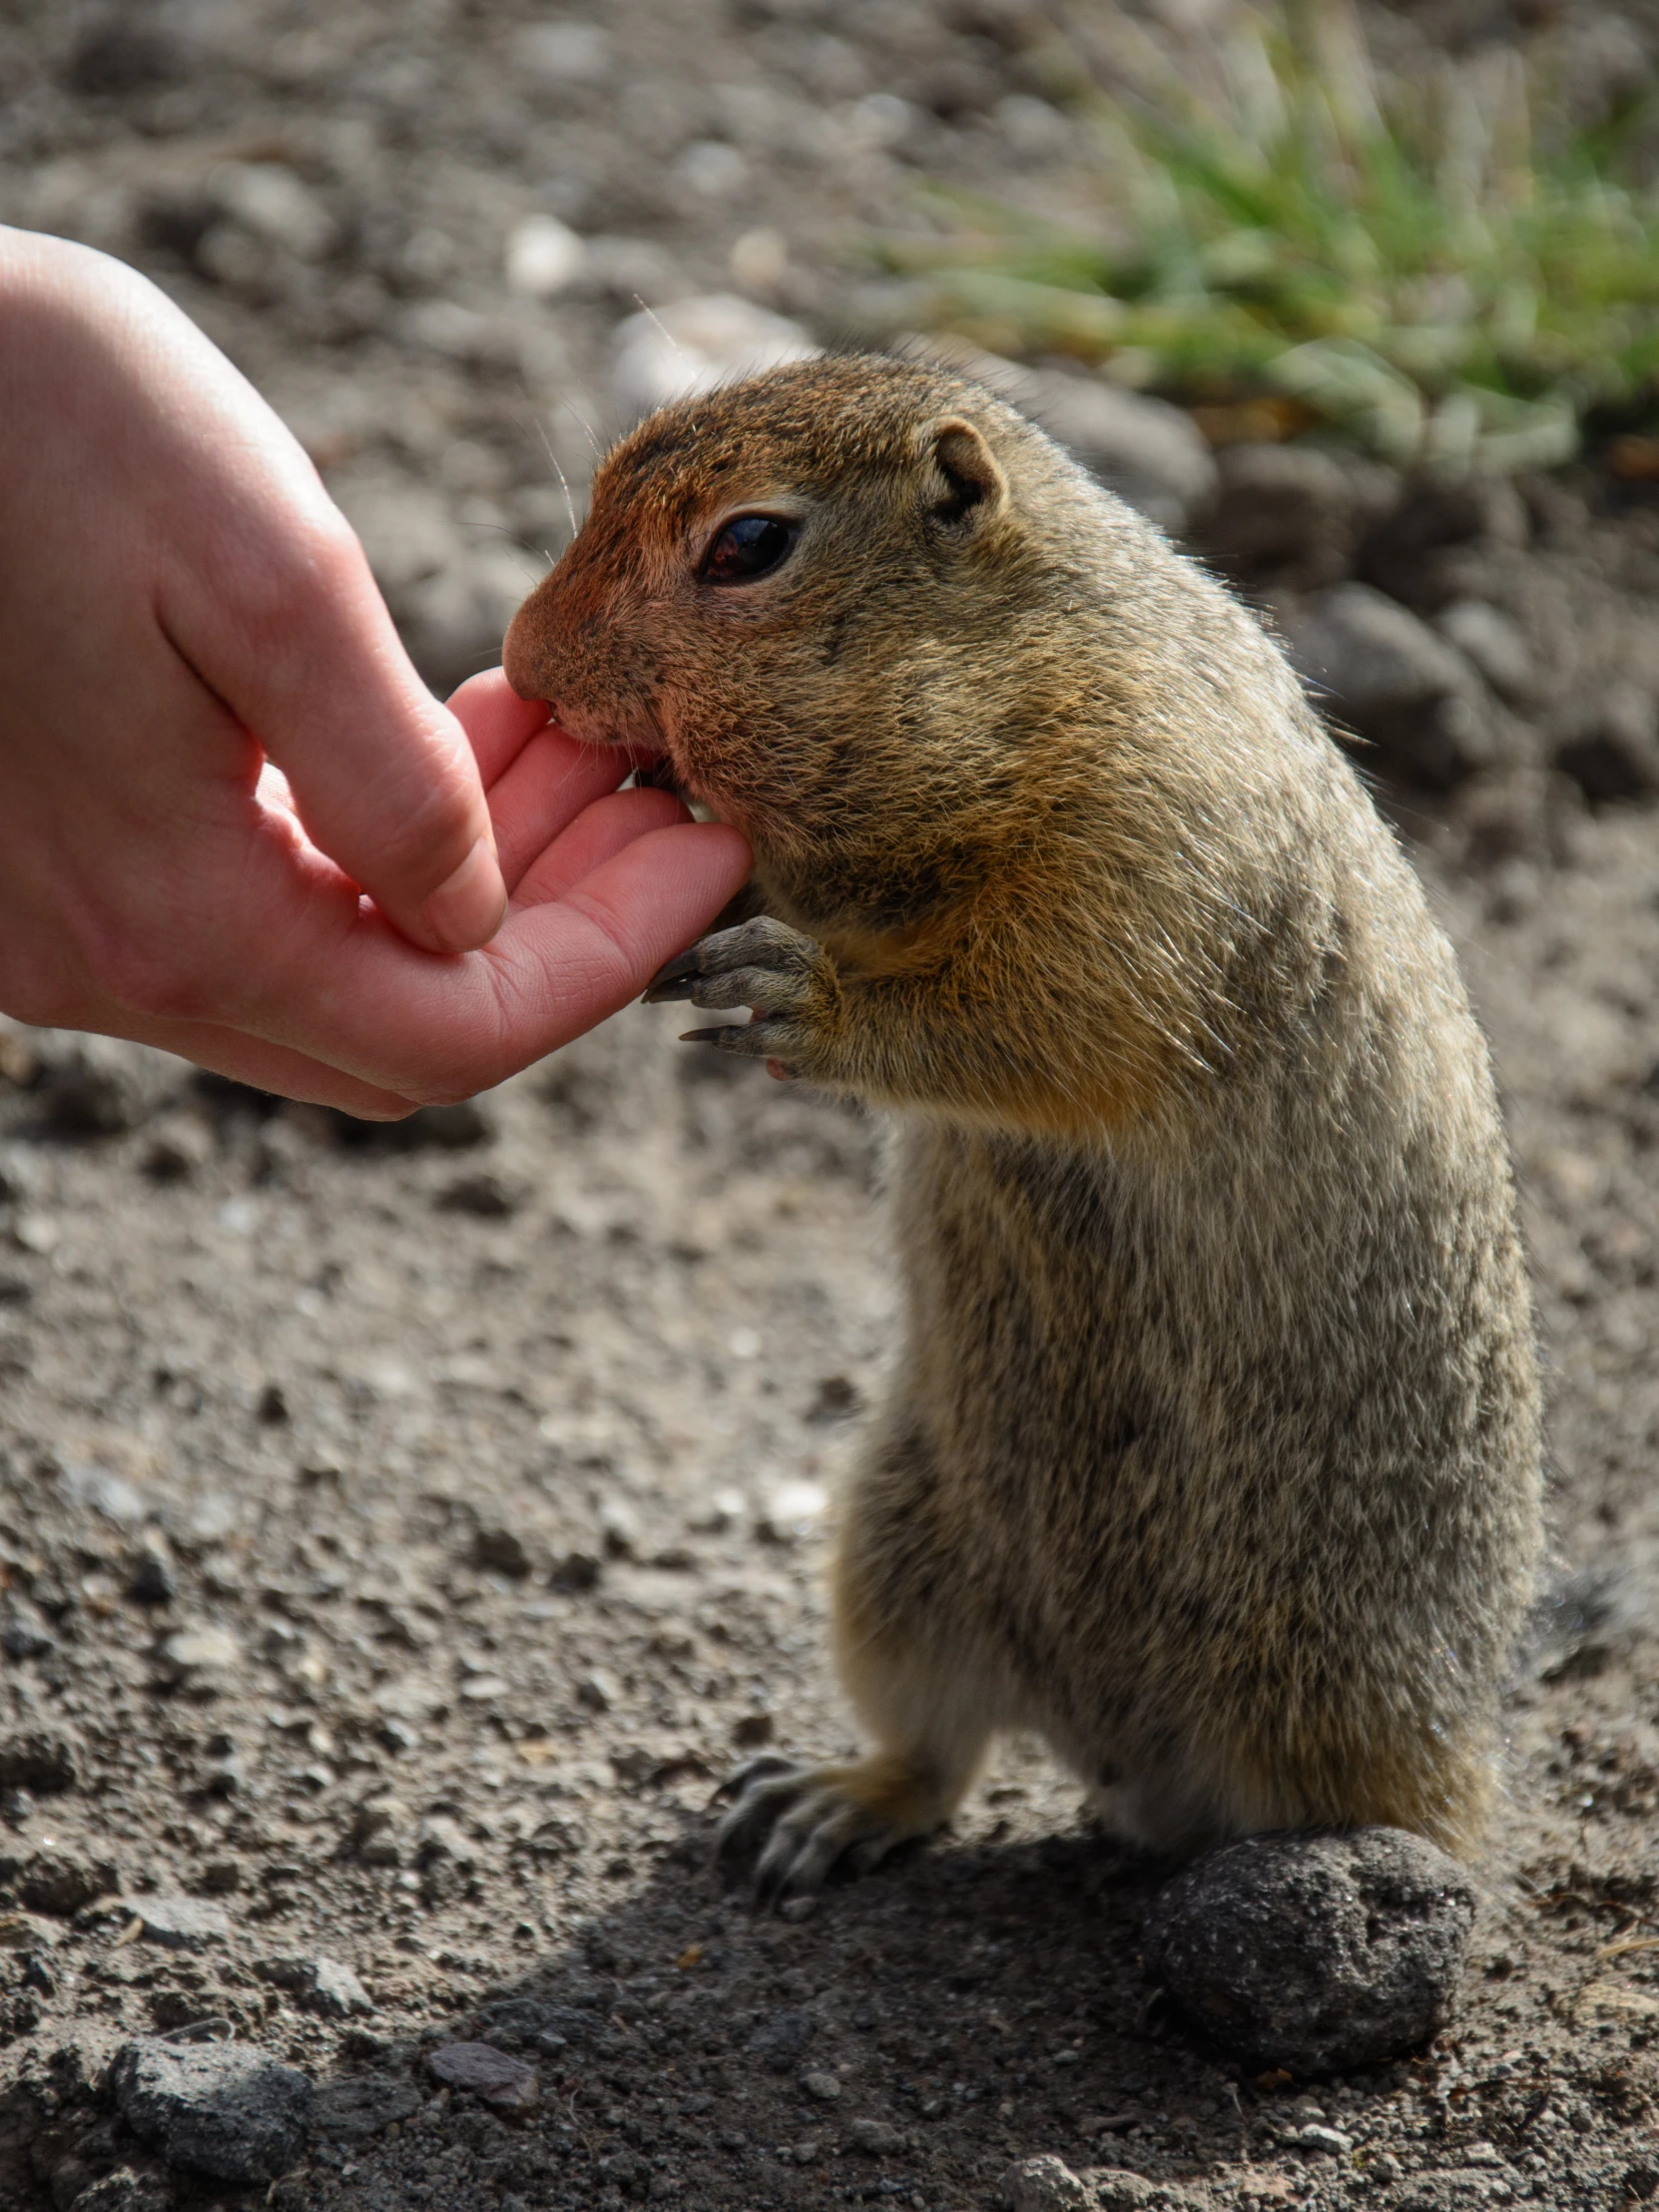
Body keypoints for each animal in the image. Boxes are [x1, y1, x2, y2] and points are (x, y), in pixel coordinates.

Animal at [506, 353, 1548, 1893]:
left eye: (747, 546)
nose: (519, 663)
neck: (1018, 671)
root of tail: (1131, 1758)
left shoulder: (1138, 845)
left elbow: (1039, 1013)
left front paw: (799, 994)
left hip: (1331, 1685)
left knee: (1405, 1816)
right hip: (894, 1551)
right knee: (939, 1752)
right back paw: (826, 1806)